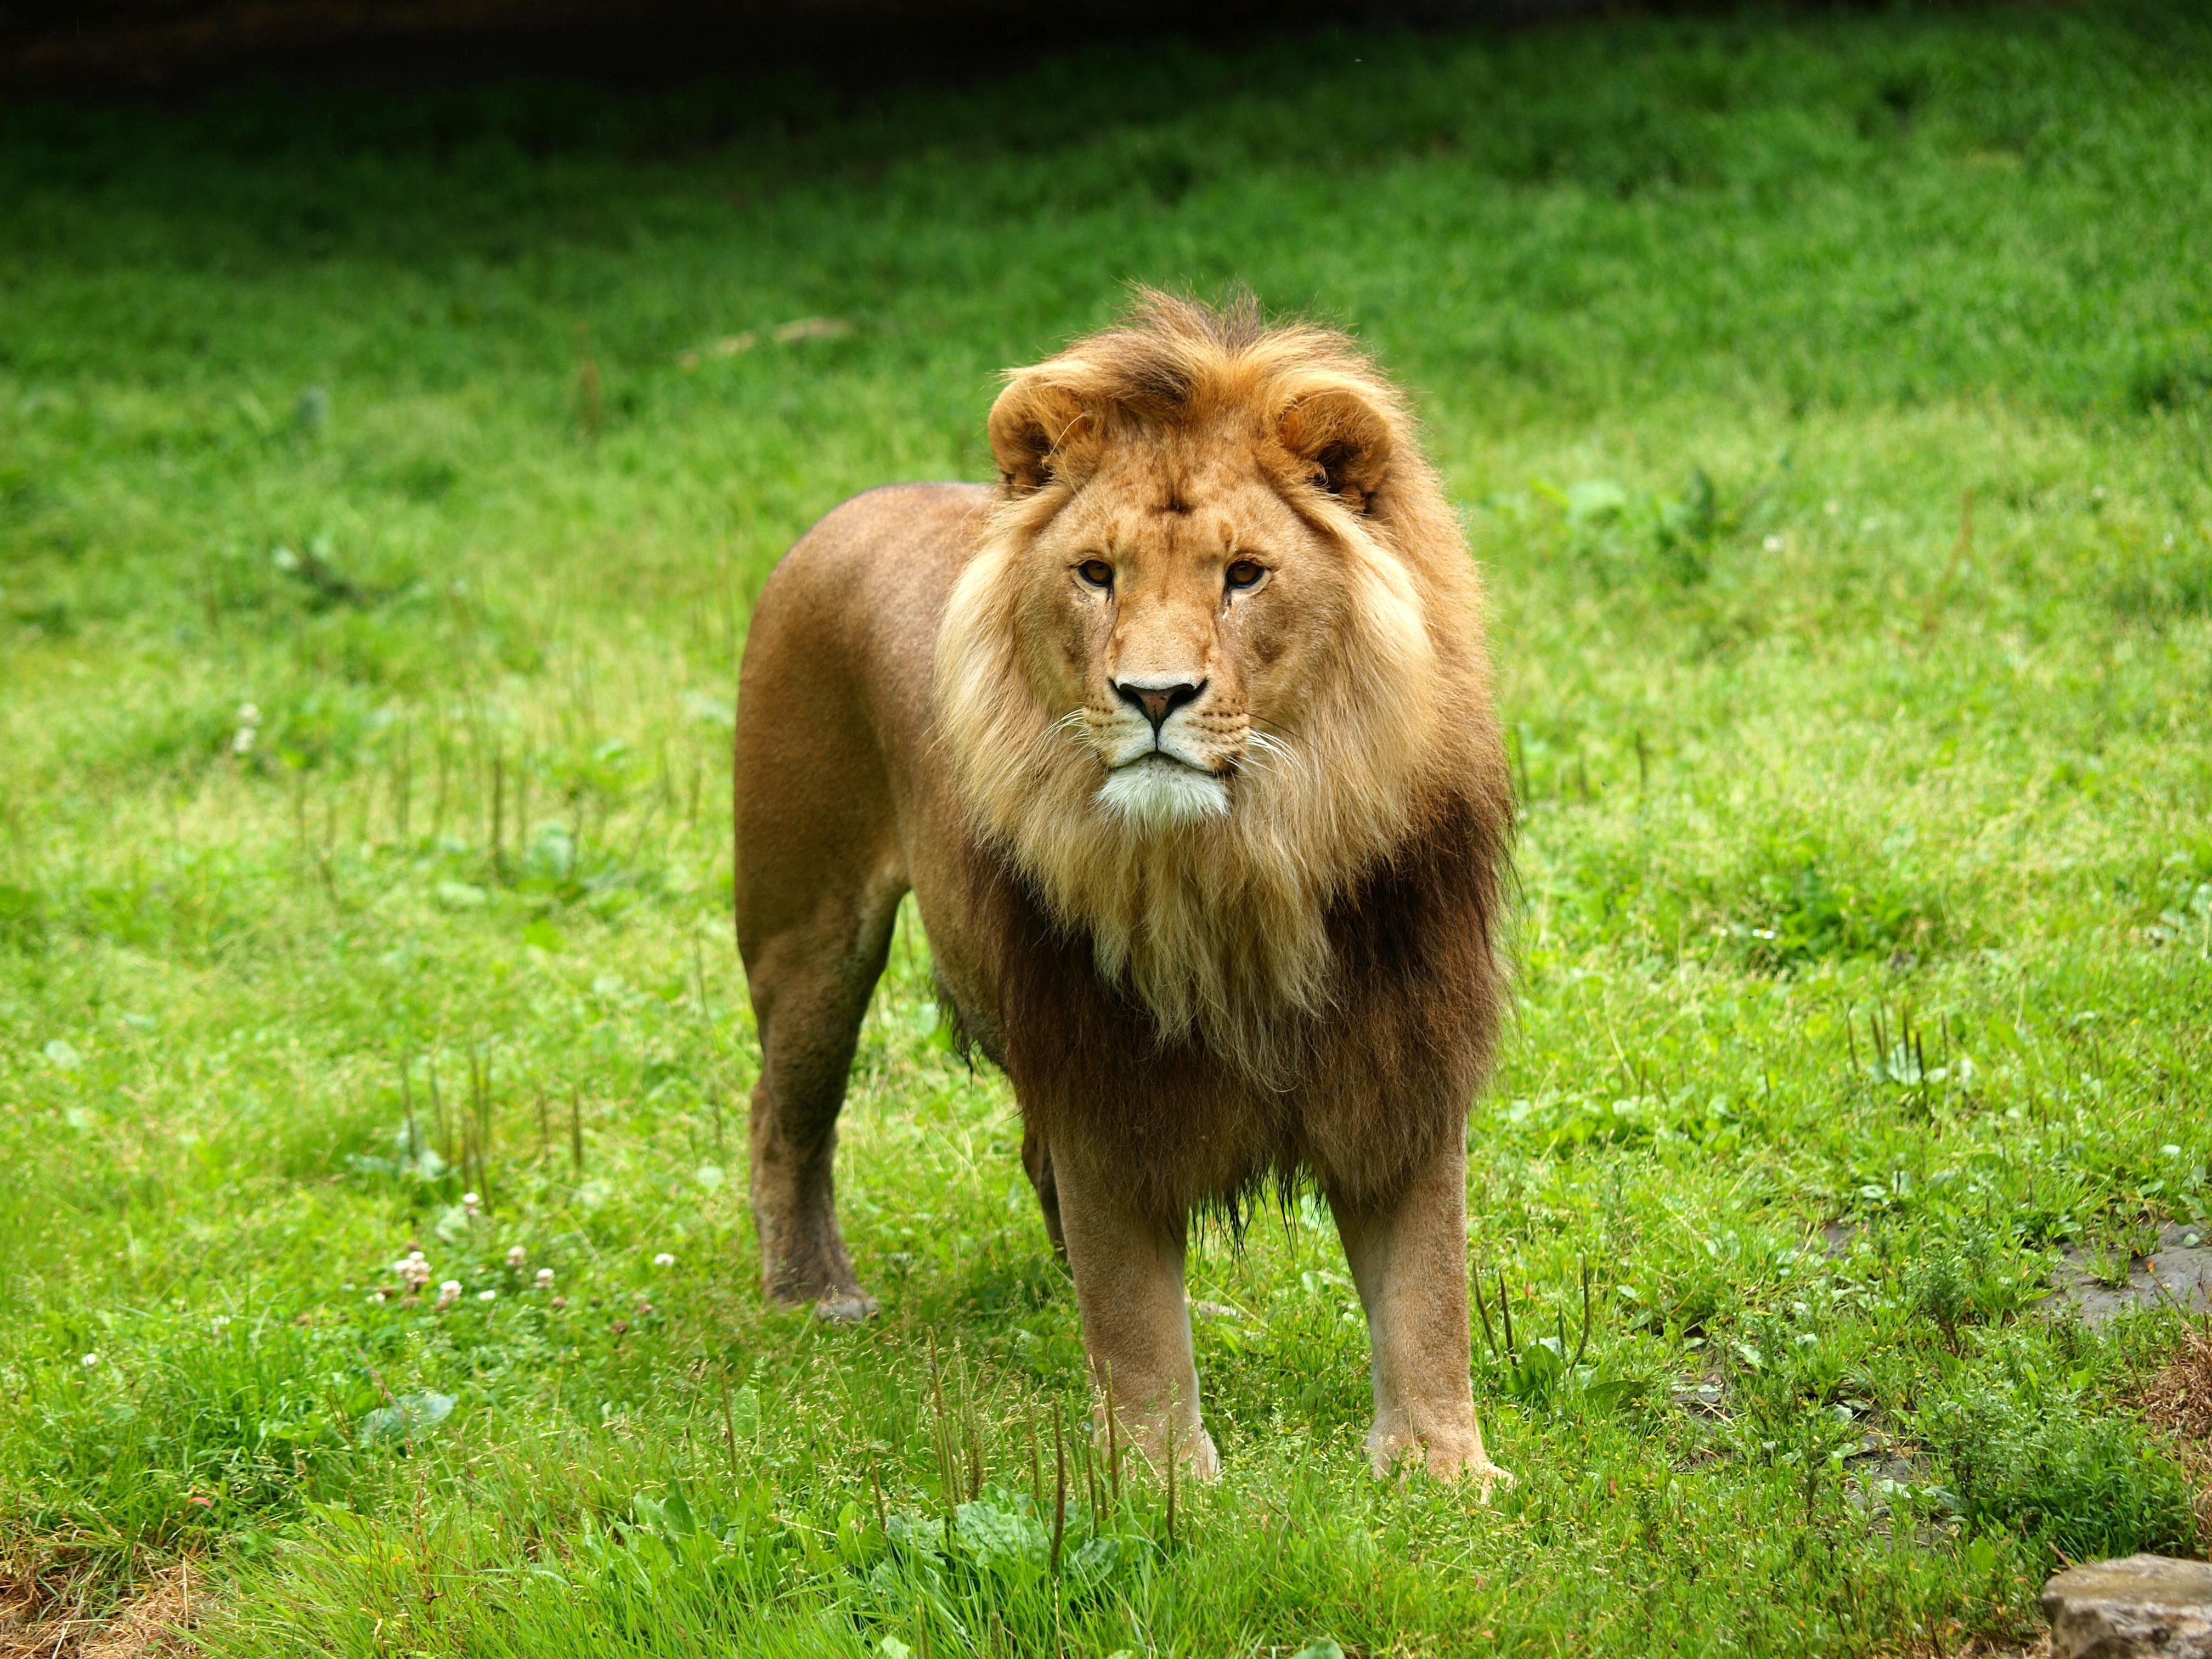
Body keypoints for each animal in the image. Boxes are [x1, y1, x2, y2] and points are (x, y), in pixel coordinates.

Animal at [733, 292, 1514, 1489]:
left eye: (1244, 574)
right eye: (1097, 572)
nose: (1154, 695)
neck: (1241, 865)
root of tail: (860, 503)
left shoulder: (1402, 1055)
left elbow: (1427, 1293)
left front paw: (1442, 1475)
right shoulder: (1101, 1075)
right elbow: (1138, 1317)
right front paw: (1159, 1482)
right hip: (807, 933)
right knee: (783, 1115)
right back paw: (813, 1295)